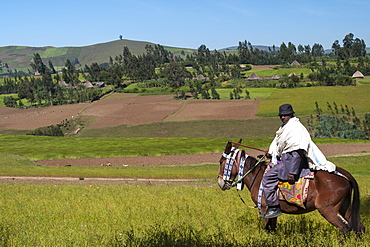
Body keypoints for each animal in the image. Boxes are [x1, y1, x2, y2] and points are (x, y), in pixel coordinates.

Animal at [217, 139, 364, 235]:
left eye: (221, 161)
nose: (220, 182)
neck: (257, 176)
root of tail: (344, 174)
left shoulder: (264, 208)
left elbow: (267, 229)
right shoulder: (273, 211)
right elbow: (273, 229)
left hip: (328, 209)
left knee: (344, 229)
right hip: (345, 207)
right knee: (359, 228)